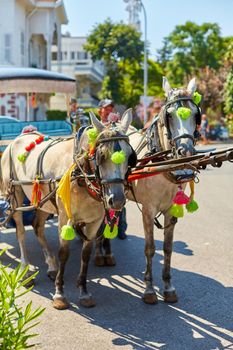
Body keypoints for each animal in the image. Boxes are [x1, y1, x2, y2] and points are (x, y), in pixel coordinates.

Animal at [0, 108, 135, 306]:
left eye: (129, 156)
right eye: (101, 155)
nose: (116, 200)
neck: (81, 174)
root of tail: (20, 136)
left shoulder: (94, 221)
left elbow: (86, 254)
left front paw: (84, 291)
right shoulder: (65, 217)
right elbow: (64, 252)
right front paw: (59, 294)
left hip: (44, 201)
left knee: (37, 226)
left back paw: (51, 265)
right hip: (15, 194)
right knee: (21, 232)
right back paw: (25, 268)